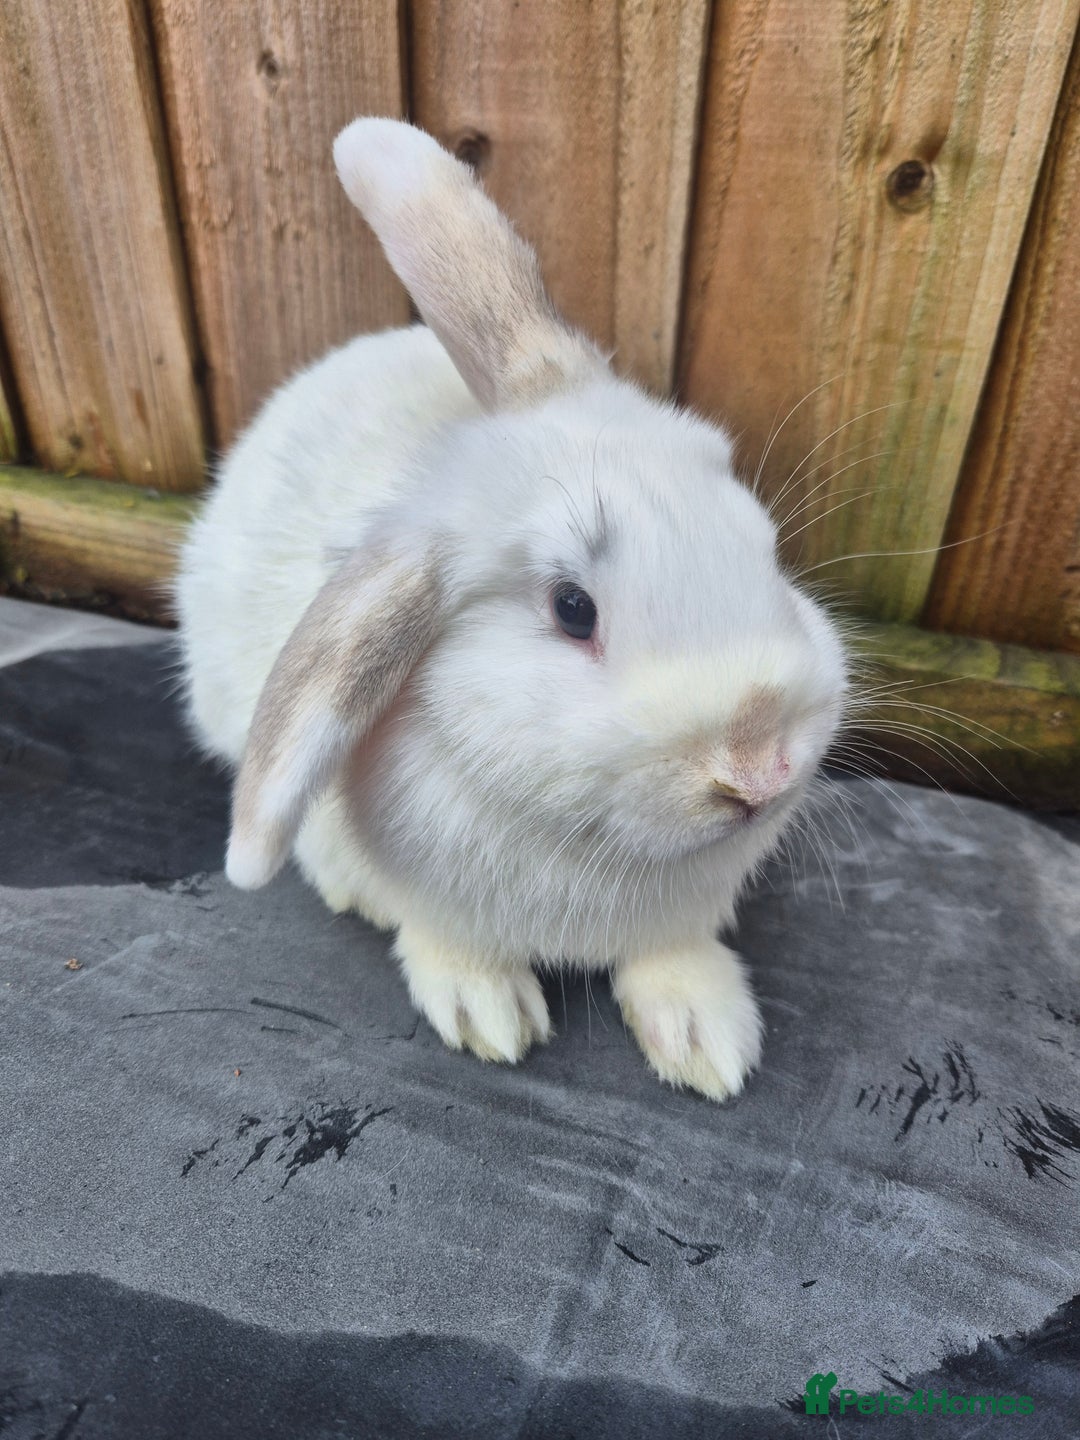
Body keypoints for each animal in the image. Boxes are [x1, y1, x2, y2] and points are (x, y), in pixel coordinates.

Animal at [175, 117, 848, 1102]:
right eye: (573, 609)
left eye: (760, 541)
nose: (759, 768)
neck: (591, 846)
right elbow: (444, 940)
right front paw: (488, 1014)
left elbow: (673, 957)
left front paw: (708, 1040)